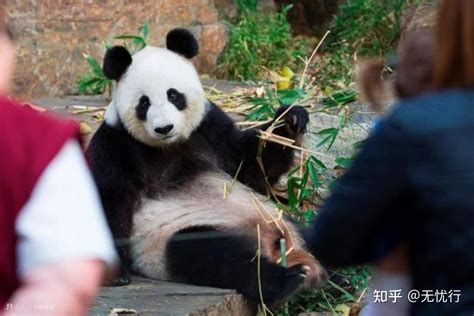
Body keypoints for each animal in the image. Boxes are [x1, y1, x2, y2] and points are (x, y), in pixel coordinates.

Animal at [88, 28, 326, 308]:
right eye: (144, 103)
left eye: (173, 95)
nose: (164, 128)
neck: (167, 146)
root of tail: (279, 247)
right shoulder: (116, 145)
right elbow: (109, 198)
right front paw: (114, 274)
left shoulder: (208, 128)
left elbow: (249, 163)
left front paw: (290, 120)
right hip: (177, 237)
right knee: (212, 255)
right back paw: (286, 279)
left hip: (279, 217)